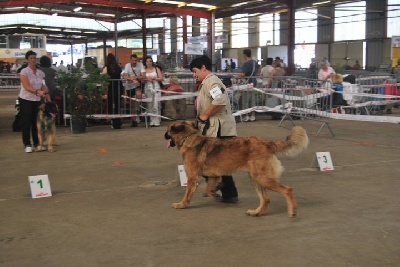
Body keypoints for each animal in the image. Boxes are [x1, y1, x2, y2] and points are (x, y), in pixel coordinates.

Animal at [166, 121, 310, 218]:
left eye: (168, 131)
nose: (164, 135)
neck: (188, 138)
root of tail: (267, 143)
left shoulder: (192, 178)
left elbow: (188, 194)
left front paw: (181, 205)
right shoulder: (213, 176)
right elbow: (208, 189)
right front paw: (215, 195)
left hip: (262, 178)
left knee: (287, 190)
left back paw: (292, 211)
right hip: (255, 178)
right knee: (266, 199)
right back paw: (256, 212)